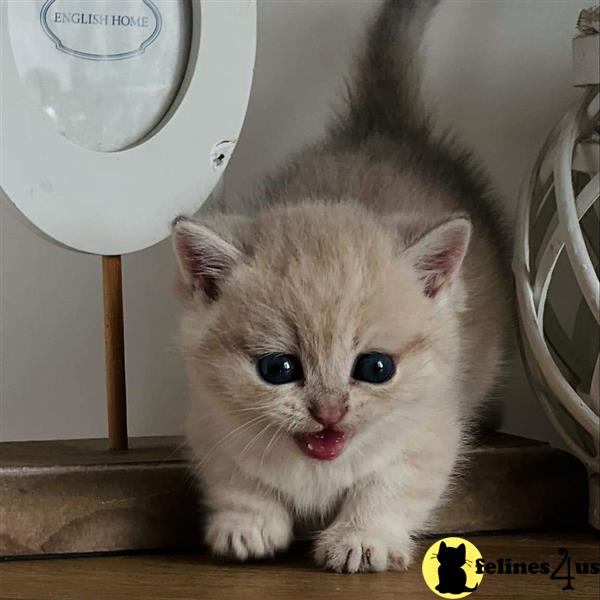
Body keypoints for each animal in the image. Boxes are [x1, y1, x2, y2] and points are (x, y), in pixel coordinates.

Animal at [172, 0, 510, 572]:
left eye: (376, 368)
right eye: (278, 369)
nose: (328, 413)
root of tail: (381, 126)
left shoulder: (431, 427)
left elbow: (391, 487)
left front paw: (361, 537)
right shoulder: (210, 421)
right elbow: (237, 480)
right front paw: (247, 525)